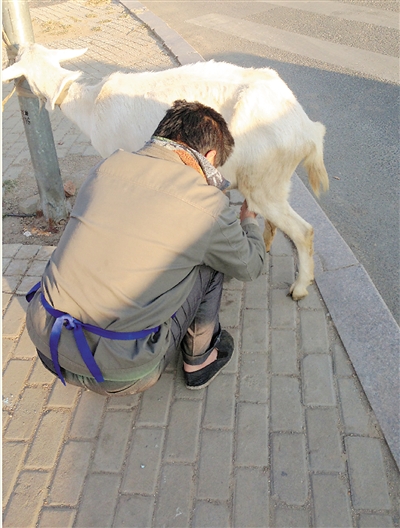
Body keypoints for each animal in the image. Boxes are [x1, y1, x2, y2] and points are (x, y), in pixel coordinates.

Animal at [2, 43, 328, 300]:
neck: (90, 106)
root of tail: (308, 131)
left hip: (263, 183)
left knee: (304, 231)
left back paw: (299, 289)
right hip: (274, 180)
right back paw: (268, 248)